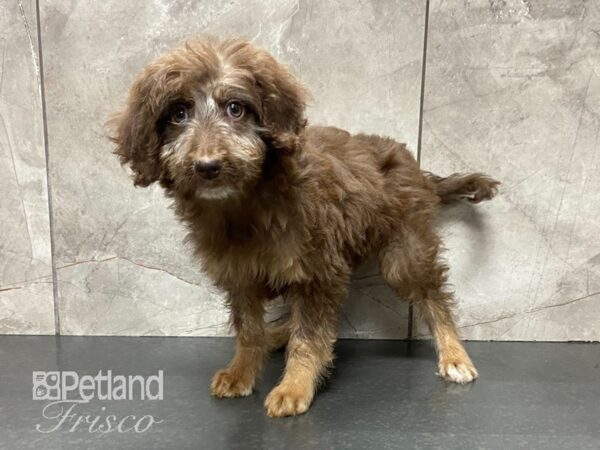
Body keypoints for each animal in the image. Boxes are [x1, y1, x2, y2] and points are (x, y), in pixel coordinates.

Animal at [109, 37, 502, 416]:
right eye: (178, 113)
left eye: (235, 108)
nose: (207, 166)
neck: (246, 205)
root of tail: (417, 170)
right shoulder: (241, 276)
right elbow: (249, 330)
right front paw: (242, 371)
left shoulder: (317, 272)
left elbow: (309, 337)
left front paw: (295, 386)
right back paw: (275, 334)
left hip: (403, 255)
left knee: (433, 297)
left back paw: (453, 353)